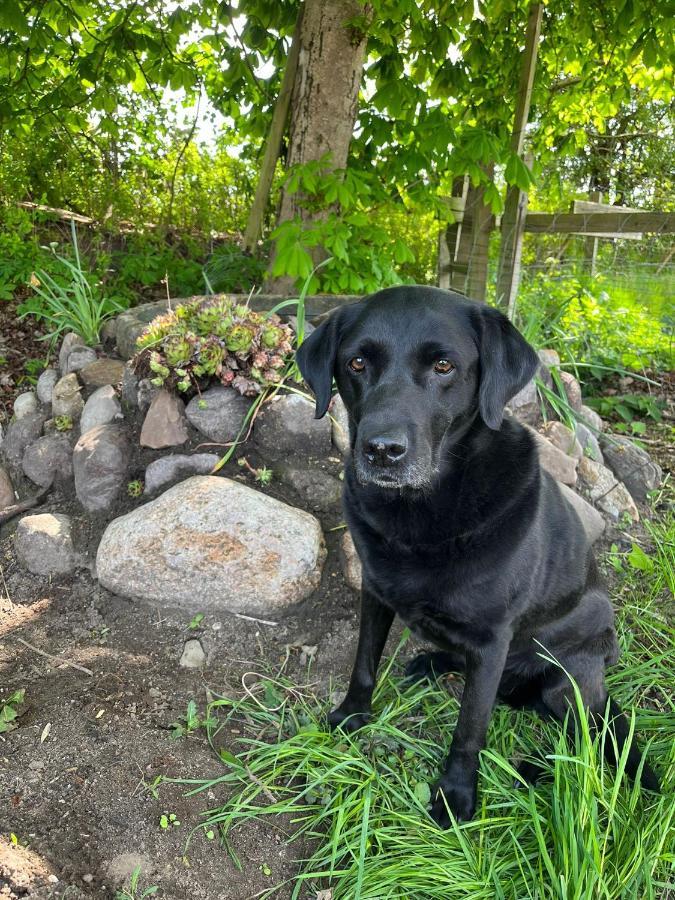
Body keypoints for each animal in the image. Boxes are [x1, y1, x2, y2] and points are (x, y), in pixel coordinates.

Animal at [298, 284, 660, 828]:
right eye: (356, 363)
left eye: (444, 366)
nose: (381, 450)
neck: (422, 512)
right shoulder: (376, 595)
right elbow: (363, 663)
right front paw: (352, 716)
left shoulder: (492, 640)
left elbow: (470, 728)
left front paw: (455, 795)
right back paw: (434, 662)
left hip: (567, 680)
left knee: (585, 739)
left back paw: (535, 768)